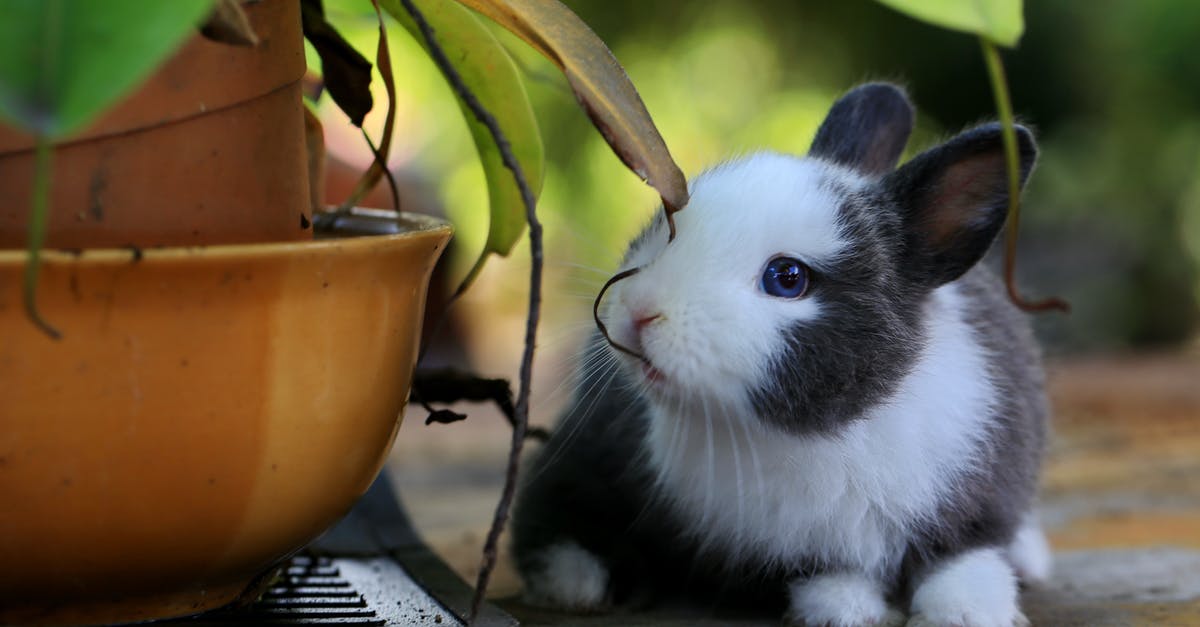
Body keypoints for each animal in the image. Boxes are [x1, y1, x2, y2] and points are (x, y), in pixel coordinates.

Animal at [512, 83, 1051, 627]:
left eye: (787, 278)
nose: (639, 311)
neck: (823, 433)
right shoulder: (791, 553)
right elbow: (825, 575)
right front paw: (846, 611)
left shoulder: (981, 499)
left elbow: (964, 560)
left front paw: (966, 612)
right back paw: (580, 584)